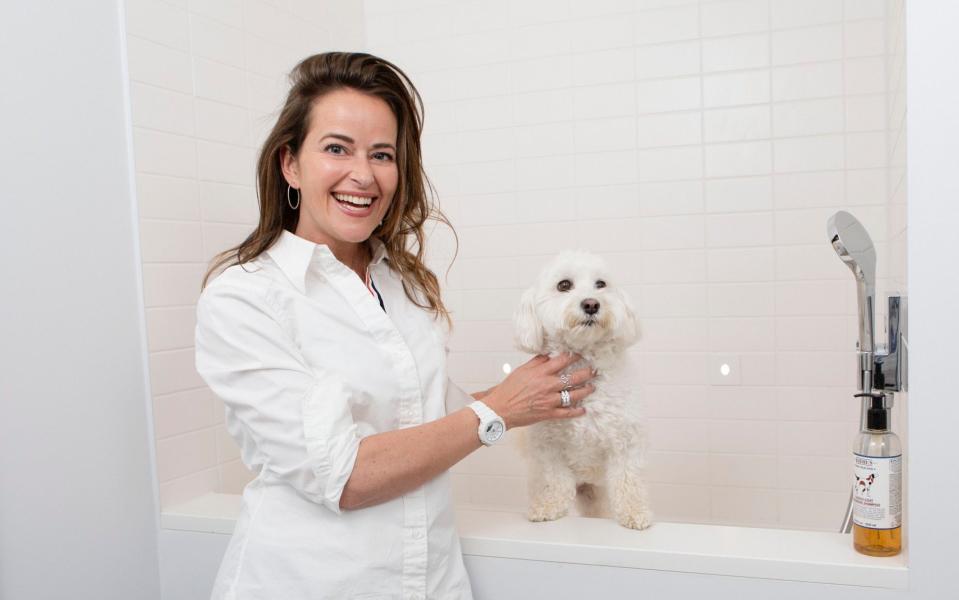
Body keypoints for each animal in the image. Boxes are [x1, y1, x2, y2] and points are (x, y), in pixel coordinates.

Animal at [516, 252, 652, 528]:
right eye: (564, 285)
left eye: (601, 284)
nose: (591, 304)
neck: (583, 359)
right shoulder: (548, 447)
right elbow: (554, 480)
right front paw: (548, 507)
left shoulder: (626, 441)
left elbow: (628, 479)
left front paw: (634, 512)